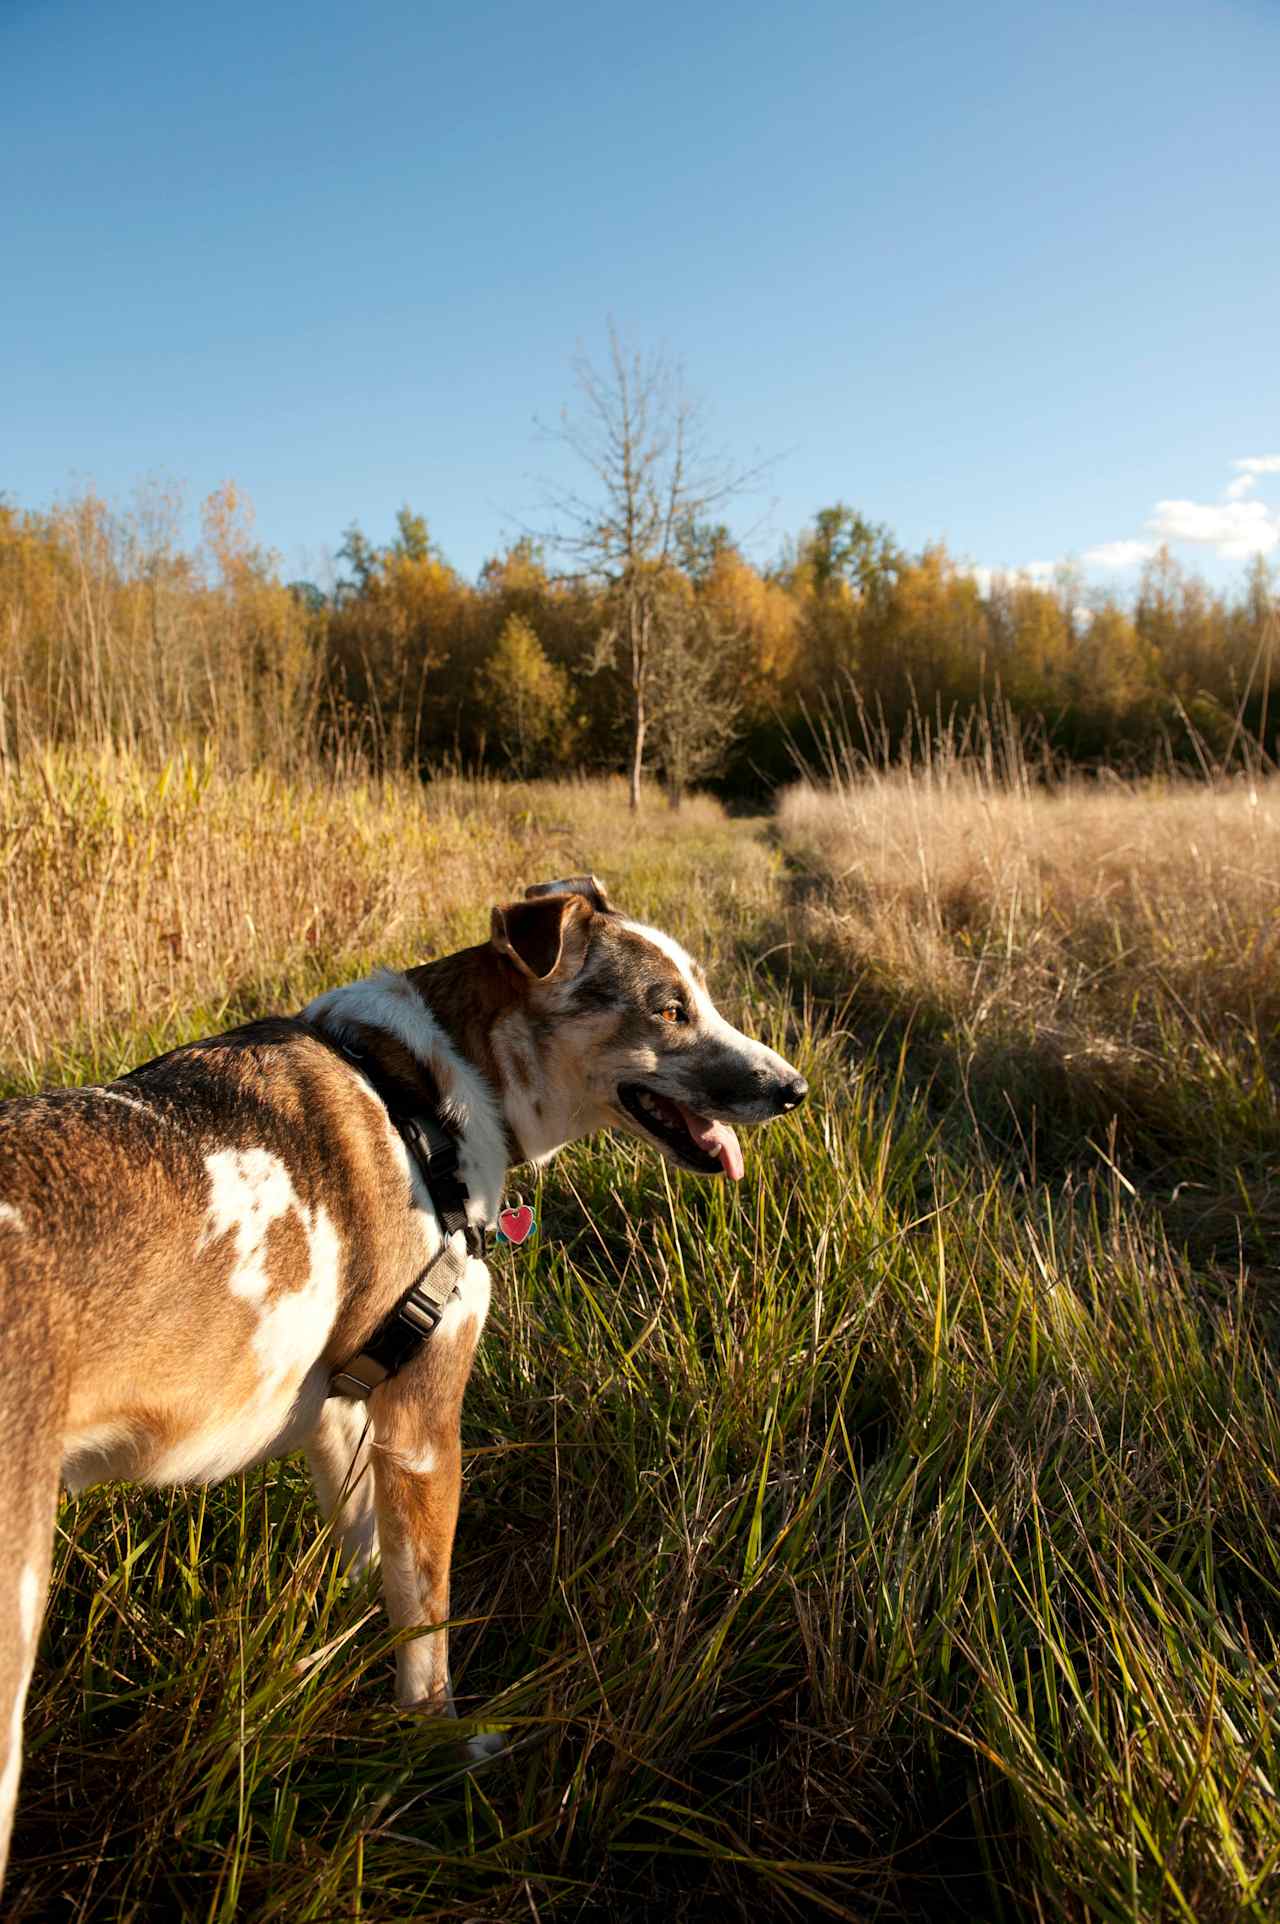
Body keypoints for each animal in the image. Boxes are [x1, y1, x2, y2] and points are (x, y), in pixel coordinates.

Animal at [0, 881, 804, 1885]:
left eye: (702, 995)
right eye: (668, 1009)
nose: (793, 1088)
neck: (430, 1095)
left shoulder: (343, 1420)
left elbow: (369, 1570)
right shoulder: (425, 1430)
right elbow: (429, 1629)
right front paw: (441, 1754)